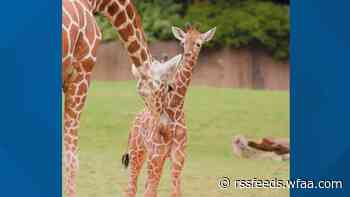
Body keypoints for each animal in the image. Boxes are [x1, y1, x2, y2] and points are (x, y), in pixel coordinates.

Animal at [122, 25, 216, 197]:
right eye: (182, 43)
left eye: (199, 44)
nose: (187, 55)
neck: (175, 107)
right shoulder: (156, 156)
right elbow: (149, 192)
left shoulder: (178, 157)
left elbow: (175, 192)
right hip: (137, 151)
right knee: (131, 187)